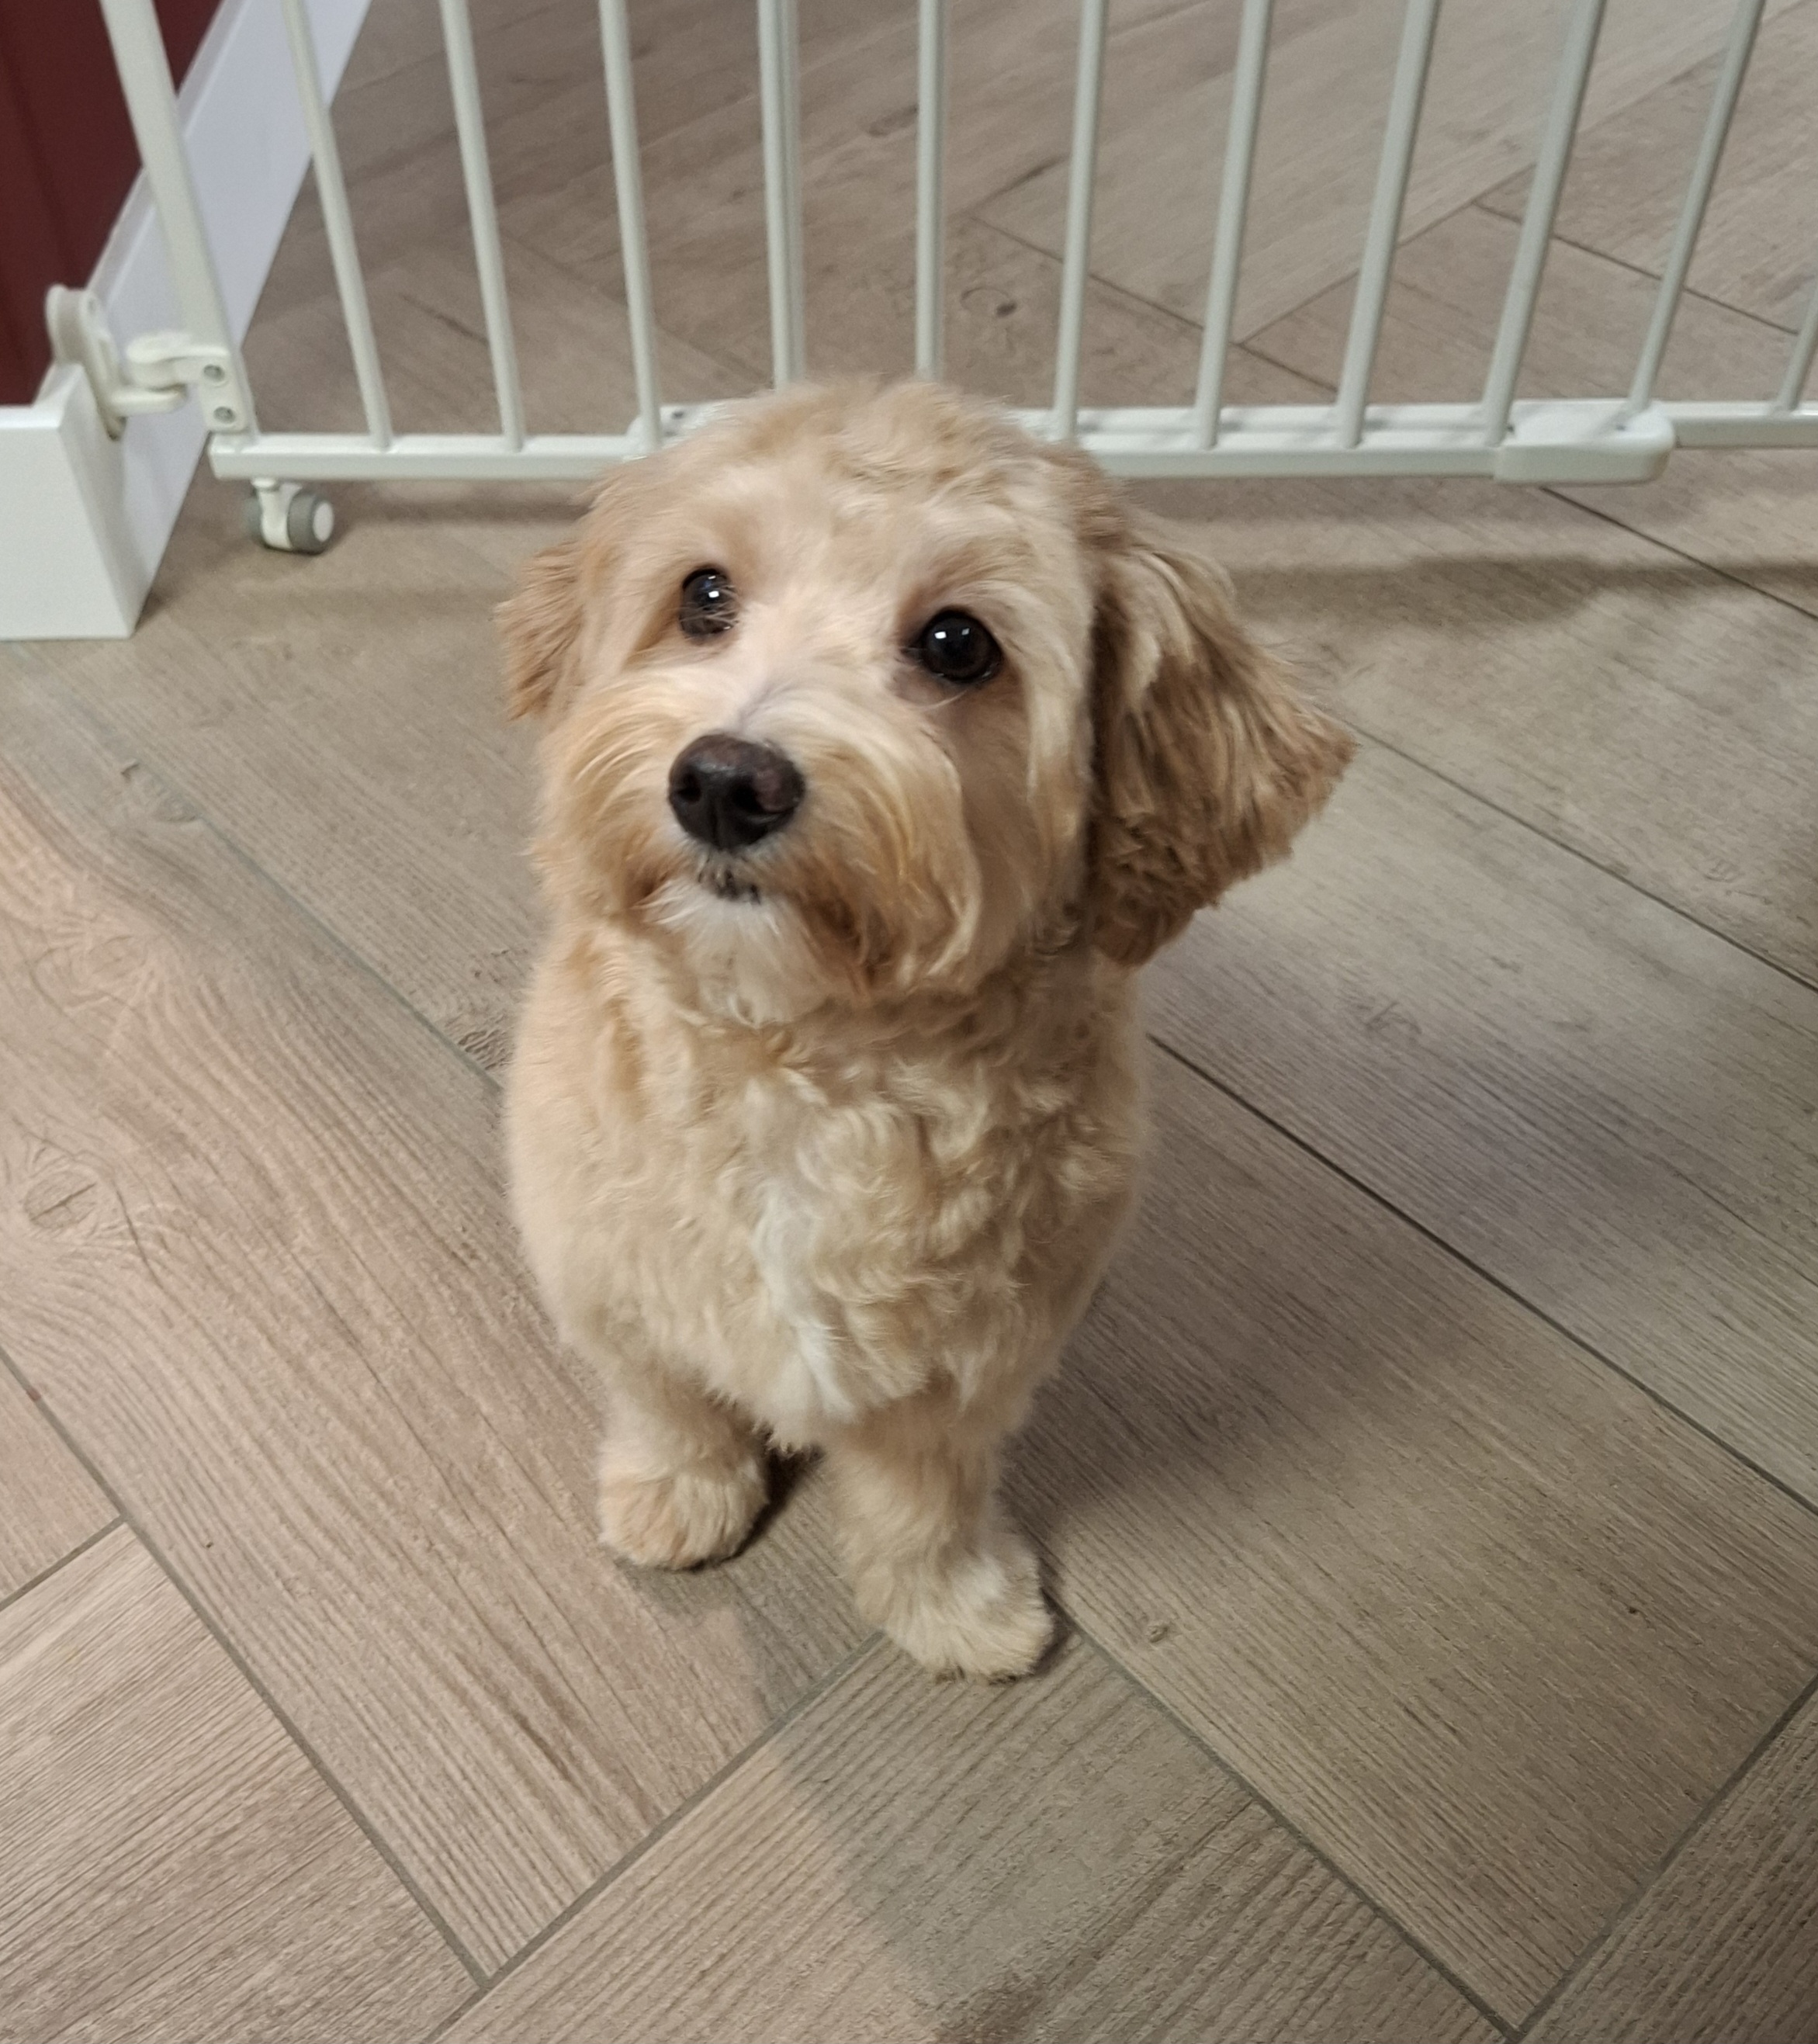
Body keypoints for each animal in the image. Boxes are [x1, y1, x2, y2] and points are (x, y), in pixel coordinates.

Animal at [500, 380, 1350, 1679]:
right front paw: (677, 1494)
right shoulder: (605, 1278)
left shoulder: (973, 1361)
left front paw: (950, 1604)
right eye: (703, 595)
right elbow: (670, 1401)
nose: (724, 781)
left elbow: (923, 1495)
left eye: (958, 644)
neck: (804, 1065)